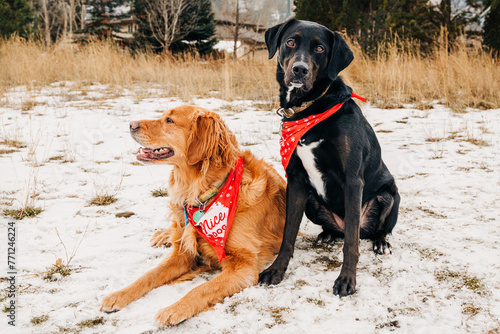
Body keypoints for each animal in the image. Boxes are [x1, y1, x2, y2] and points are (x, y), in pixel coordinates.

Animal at [99, 105, 286, 324]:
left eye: (169, 120)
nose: (131, 124)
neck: (203, 192)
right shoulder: (183, 254)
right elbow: (149, 275)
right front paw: (118, 295)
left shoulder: (244, 266)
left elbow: (202, 288)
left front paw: (174, 308)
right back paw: (162, 235)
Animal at [260, 18, 400, 294]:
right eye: (290, 42)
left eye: (320, 49)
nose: (299, 70)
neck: (311, 106)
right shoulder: (295, 179)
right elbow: (288, 234)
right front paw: (276, 270)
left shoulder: (353, 180)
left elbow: (351, 244)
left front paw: (347, 280)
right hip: (311, 203)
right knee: (341, 231)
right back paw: (328, 234)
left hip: (389, 197)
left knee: (369, 231)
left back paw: (380, 242)